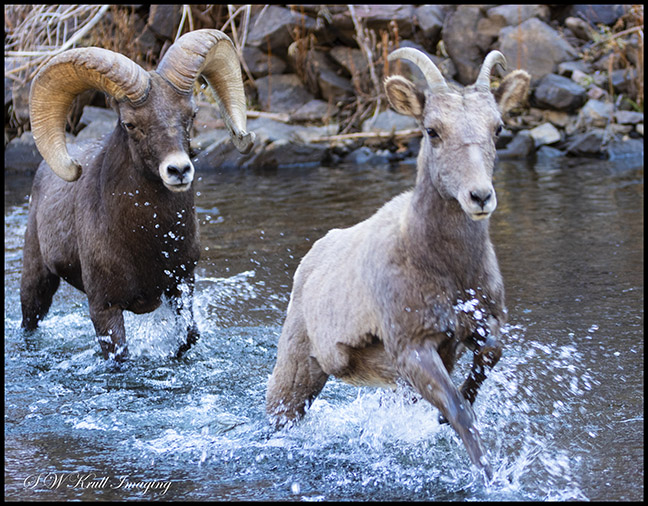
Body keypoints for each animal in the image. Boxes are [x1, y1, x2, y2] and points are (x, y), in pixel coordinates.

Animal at [20, 29, 255, 361]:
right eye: (130, 124)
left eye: (191, 114)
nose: (179, 170)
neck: (148, 237)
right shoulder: (105, 308)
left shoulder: (181, 286)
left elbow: (190, 336)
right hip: (36, 282)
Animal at [266, 48, 530, 478]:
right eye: (432, 131)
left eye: (498, 128)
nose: (479, 196)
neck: (449, 270)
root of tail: (313, 256)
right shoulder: (412, 347)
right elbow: (459, 412)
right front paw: (490, 476)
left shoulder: (475, 326)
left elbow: (491, 354)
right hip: (298, 367)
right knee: (281, 412)